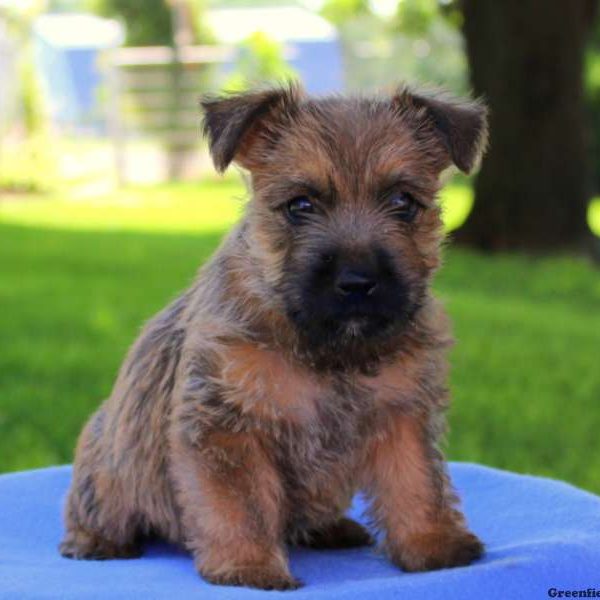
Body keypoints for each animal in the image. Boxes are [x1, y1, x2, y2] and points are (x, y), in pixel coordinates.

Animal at [59, 84, 488, 592]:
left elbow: (417, 483)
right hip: (108, 466)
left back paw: (331, 528)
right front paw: (249, 568)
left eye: (403, 201)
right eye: (300, 205)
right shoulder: (228, 427)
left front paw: (434, 547)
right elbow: (240, 507)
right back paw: (95, 542)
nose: (358, 281)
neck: (331, 351)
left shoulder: (403, 413)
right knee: (94, 507)